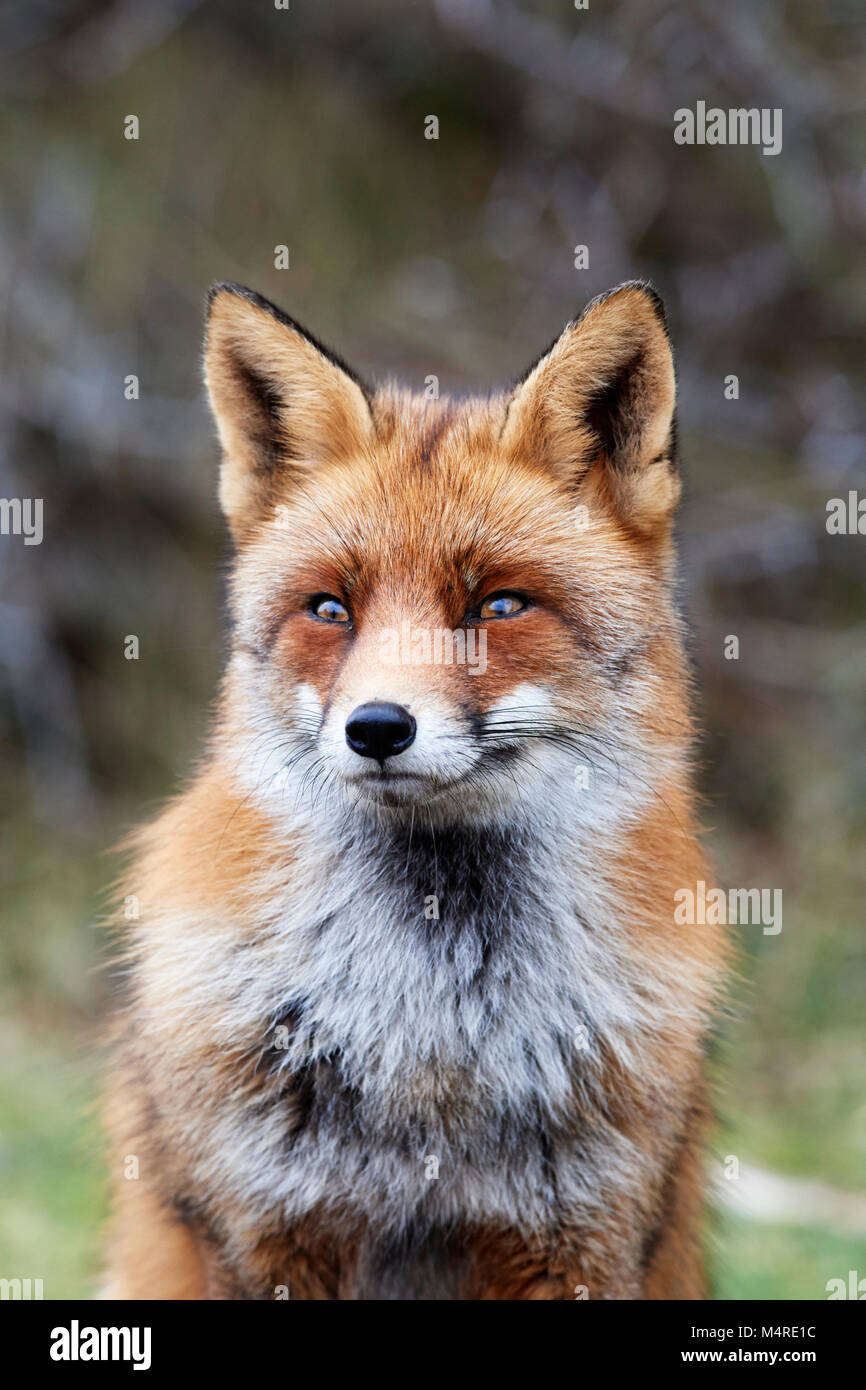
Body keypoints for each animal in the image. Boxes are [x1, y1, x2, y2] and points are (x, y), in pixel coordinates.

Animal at [103, 279, 727, 1300]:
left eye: (498, 605)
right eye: (330, 609)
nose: (377, 728)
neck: (428, 1033)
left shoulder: (574, 1238)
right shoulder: (267, 1229)